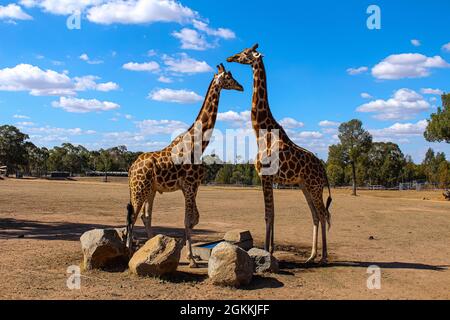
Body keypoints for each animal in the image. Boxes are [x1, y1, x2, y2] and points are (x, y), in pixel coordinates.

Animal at [125, 63, 243, 268]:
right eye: (229, 77)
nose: (241, 87)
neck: (198, 143)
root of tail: (131, 168)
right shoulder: (189, 186)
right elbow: (188, 220)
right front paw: (192, 260)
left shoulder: (193, 187)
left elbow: (195, 218)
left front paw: (189, 254)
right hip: (139, 189)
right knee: (133, 216)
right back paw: (130, 251)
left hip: (150, 189)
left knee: (145, 216)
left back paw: (148, 247)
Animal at [227, 43, 332, 264]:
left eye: (246, 52)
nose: (230, 57)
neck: (262, 131)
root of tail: (324, 171)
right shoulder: (267, 178)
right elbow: (272, 214)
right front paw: (271, 251)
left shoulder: (266, 176)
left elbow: (268, 214)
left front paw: (267, 252)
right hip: (304, 185)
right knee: (315, 215)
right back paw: (311, 256)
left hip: (314, 186)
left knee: (323, 214)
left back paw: (324, 257)